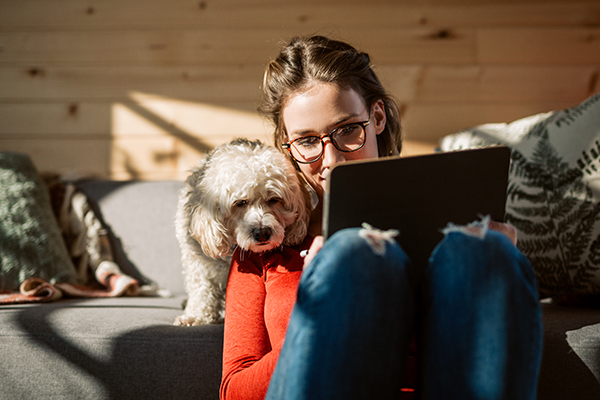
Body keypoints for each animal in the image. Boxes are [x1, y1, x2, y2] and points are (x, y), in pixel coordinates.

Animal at [172, 138, 310, 324]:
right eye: (241, 202)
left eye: (274, 199)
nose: (263, 233)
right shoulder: (197, 260)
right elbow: (201, 287)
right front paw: (196, 315)